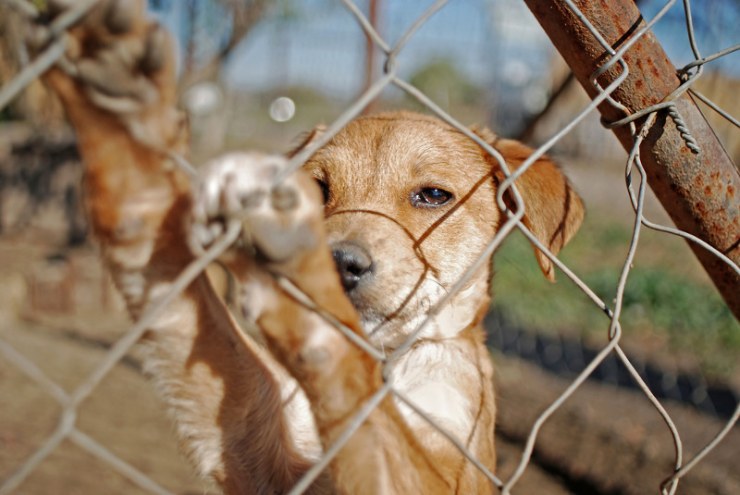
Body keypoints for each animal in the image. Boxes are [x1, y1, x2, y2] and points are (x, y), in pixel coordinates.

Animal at [43, 1, 584, 494]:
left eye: (433, 196)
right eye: (317, 189)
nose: (338, 262)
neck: (390, 362)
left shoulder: (452, 475)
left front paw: (309, 288)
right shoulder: (255, 440)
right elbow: (186, 297)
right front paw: (118, 108)